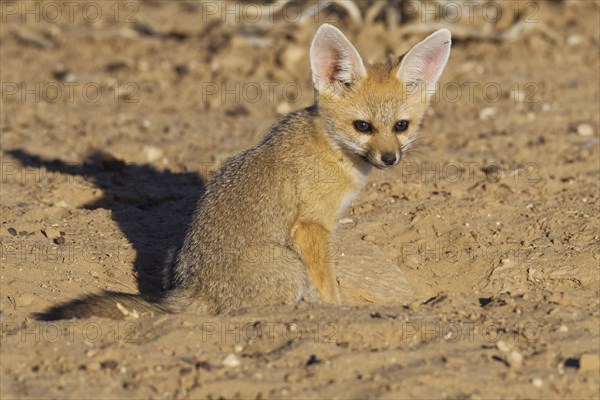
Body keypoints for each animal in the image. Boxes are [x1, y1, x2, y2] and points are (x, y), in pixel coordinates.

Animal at [38, 24, 450, 318]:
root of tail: (195, 289)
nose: (389, 158)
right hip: (288, 264)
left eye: (401, 126)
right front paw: (336, 309)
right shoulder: (311, 227)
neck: (331, 149)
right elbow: (326, 284)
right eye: (363, 126)